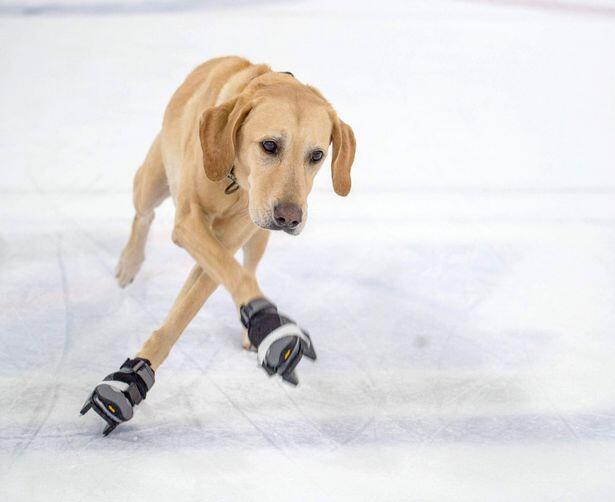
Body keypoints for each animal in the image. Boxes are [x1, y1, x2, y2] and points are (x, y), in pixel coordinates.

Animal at [80, 56, 356, 436]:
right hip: (151, 182)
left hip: (258, 234)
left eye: (316, 155)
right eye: (269, 145)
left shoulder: (224, 242)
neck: (233, 179)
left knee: (249, 265)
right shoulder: (188, 224)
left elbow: (223, 281)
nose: (289, 217)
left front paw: (264, 323)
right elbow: (205, 292)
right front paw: (128, 380)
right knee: (143, 216)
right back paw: (129, 263)